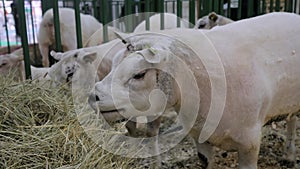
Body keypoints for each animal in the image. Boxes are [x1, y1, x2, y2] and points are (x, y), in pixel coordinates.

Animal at [89, 12, 300, 168]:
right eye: (114, 63)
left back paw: (289, 155)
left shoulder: (249, 144)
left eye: (139, 75)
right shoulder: (200, 140)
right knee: (292, 118)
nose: (94, 96)